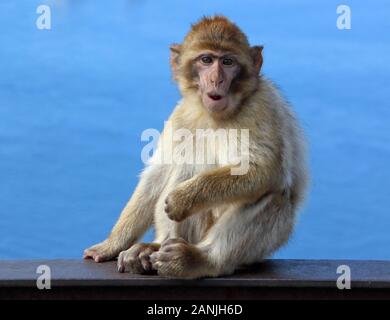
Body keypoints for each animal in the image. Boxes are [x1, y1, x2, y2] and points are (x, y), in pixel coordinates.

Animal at [83, 16, 308, 278]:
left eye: (228, 62)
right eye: (206, 60)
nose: (216, 79)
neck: (216, 115)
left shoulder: (261, 105)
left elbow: (263, 168)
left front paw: (183, 199)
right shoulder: (181, 114)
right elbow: (157, 173)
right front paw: (112, 243)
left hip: (259, 247)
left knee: (271, 196)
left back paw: (199, 260)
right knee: (186, 162)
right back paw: (154, 247)